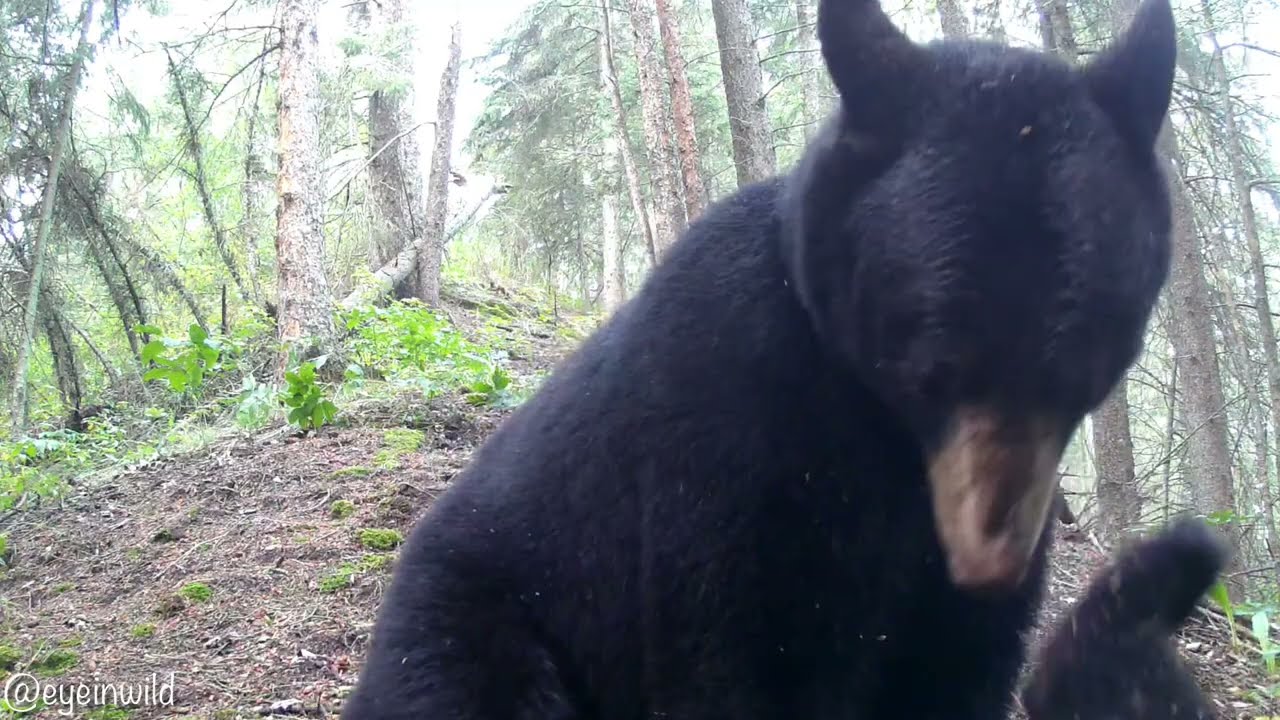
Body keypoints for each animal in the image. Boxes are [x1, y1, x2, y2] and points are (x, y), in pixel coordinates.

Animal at [340, 0, 1177, 716]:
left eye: (1087, 368)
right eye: (932, 363)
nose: (986, 562)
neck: (878, 425)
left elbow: (957, 668)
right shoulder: (728, 433)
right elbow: (736, 652)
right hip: (476, 616)